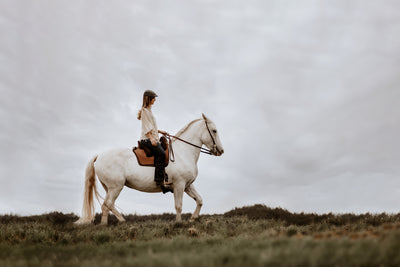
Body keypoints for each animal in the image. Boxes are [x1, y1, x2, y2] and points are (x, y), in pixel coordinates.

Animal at [75, 114, 223, 225]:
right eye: (214, 130)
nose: (221, 151)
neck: (183, 153)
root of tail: (99, 156)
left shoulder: (187, 185)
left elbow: (199, 200)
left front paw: (193, 218)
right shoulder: (179, 185)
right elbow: (178, 205)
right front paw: (178, 223)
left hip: (109, 188)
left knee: (105, 206)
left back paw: (104, 225)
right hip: (116, 187)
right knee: (109, 204)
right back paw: (123, 221)